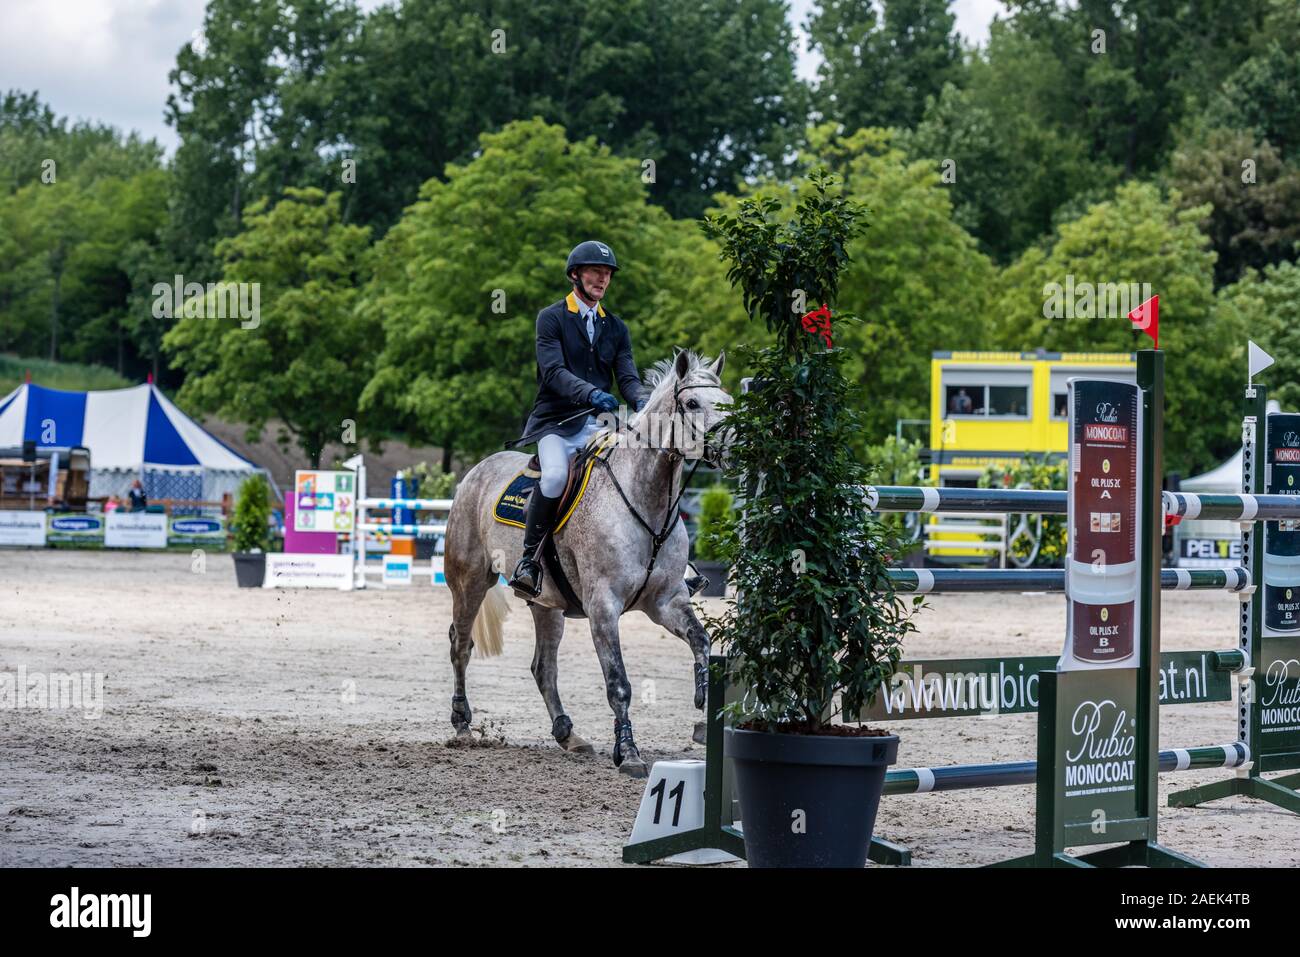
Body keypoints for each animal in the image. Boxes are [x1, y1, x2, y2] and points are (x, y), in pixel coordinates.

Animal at [444, 351, 733, 780]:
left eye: (728, 400)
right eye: (693, 403)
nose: (737, 445)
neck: (645, 499)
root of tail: (476, 472)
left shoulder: (666, 601)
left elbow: (701, 640)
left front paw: (702, 698)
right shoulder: (603, 607)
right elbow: (619, 683)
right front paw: (628, 752)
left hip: (546, 605)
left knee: (543, 667)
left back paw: (568, 734)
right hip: (470, 582)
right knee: (461, 645)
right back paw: (462, 724)